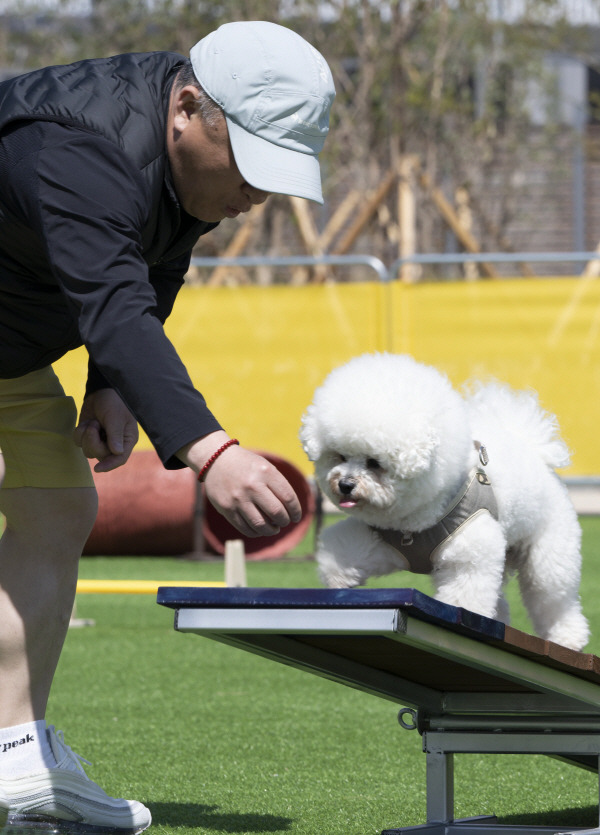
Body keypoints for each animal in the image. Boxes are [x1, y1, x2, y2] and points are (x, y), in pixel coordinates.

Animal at [300, 352, 592, 652]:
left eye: (374, 463)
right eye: (340, 456)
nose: (345, 485)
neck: (414, 522)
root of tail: (536, 453)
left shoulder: (470, 556)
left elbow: (465, 596)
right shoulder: (381, 541)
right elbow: (346, 549)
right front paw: (337, 578)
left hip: (549, 555)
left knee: (552, 597)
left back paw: (568, 638)